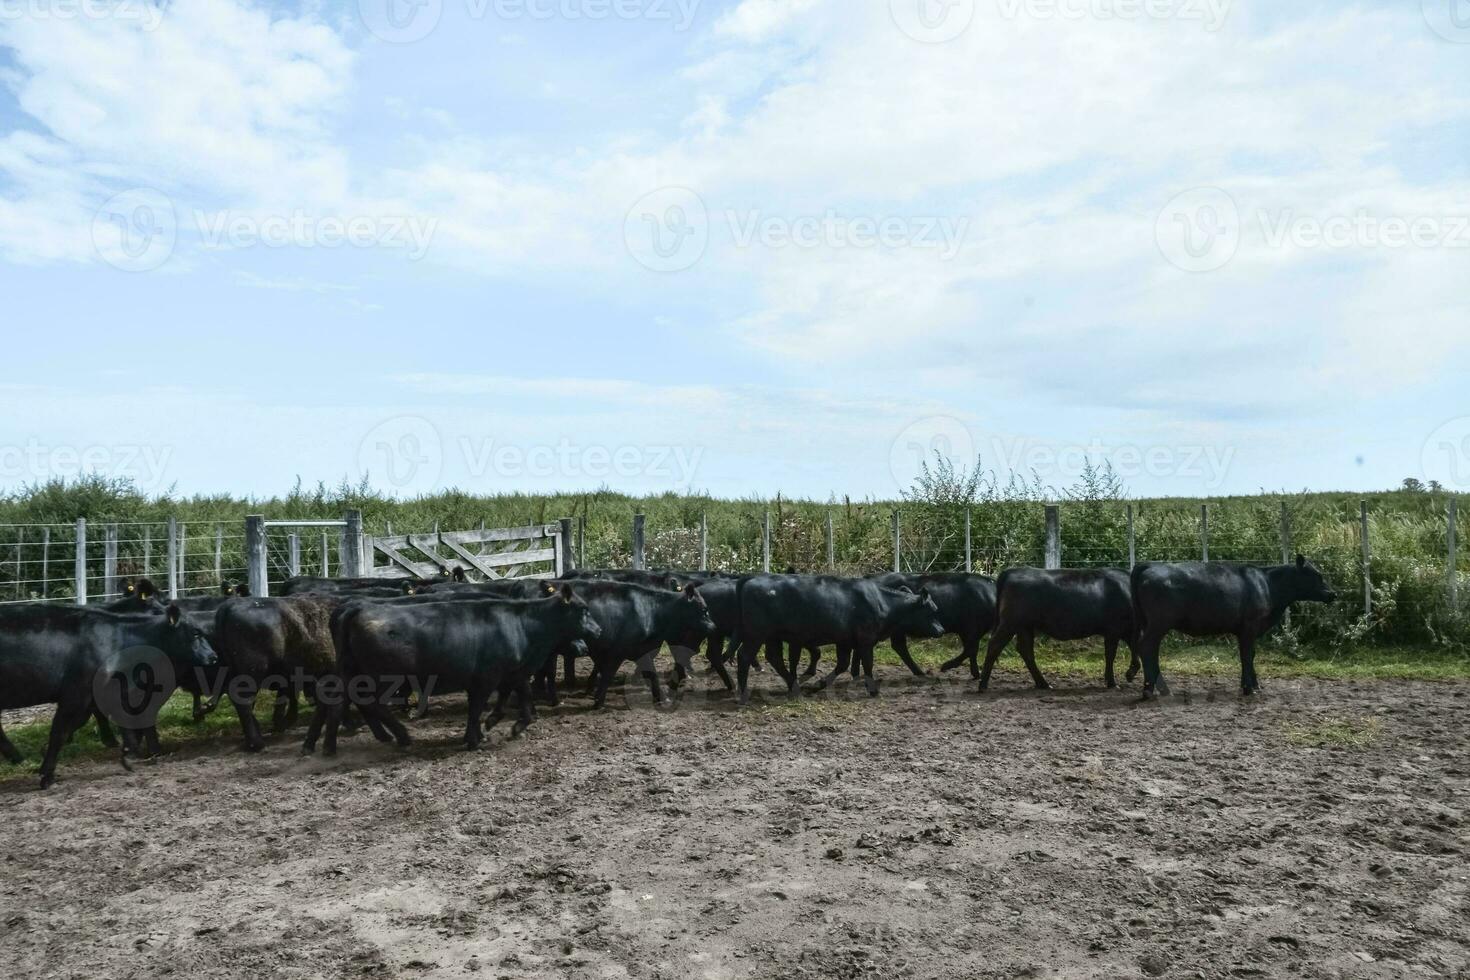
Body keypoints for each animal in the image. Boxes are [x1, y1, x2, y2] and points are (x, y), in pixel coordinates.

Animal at [0, 605, 214, 787]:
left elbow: (122, 720)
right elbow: (59, 733)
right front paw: (47, 774)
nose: (213, 656)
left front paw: (128, 754)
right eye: (195, 633)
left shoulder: (105, 692)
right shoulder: (76, 695)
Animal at [304, 587, 602, 758]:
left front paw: (505, 726)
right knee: (370, 703)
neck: (521, 624)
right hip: (380, 677)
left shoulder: (511, 673)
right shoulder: (486, 678)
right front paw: (475, 738)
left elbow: (520, 698)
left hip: (351, 671)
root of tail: (356, 607)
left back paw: (327, 745)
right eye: (583, 609)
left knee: (339, 699)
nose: (596, 633)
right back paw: (400, 736)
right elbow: (477, 708)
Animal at [729, 575, 946, 705]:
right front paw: (873, 690)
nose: (942, 630)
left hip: (772, 636)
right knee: (745, 656)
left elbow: (842, 665)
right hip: (756, 634)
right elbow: (868, 664)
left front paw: (819, 684)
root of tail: (752, 578)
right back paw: (744, 694)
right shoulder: (866, 640)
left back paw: (795, 687)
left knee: (774, 658)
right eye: (931, 610)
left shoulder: (845, 641)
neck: (882, 601)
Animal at [981, 564, 1140, 693]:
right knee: (995, 644)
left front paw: (1130, 673)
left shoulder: (1126, 630)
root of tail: (1012, 571)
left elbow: (1134, 648)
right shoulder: (1114, 630)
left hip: (1024, 626)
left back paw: (1043, 684)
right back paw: (983, 684)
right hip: (1010, 623)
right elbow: (1111, 655)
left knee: (1025, 650)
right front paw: (1113, 682)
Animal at [1128, 558, 1340, 696]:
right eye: (1316, 575)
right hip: (1158, 623)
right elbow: (1247, 655)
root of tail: (1150, 565)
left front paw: (1252, 685)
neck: (1267, 584)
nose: (1333, 594)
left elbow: (1249, 655)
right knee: (1147, 646)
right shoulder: (1250, 627)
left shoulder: (1245, 631)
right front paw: (1249, 688)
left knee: (1149, 649)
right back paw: (1150, 689)